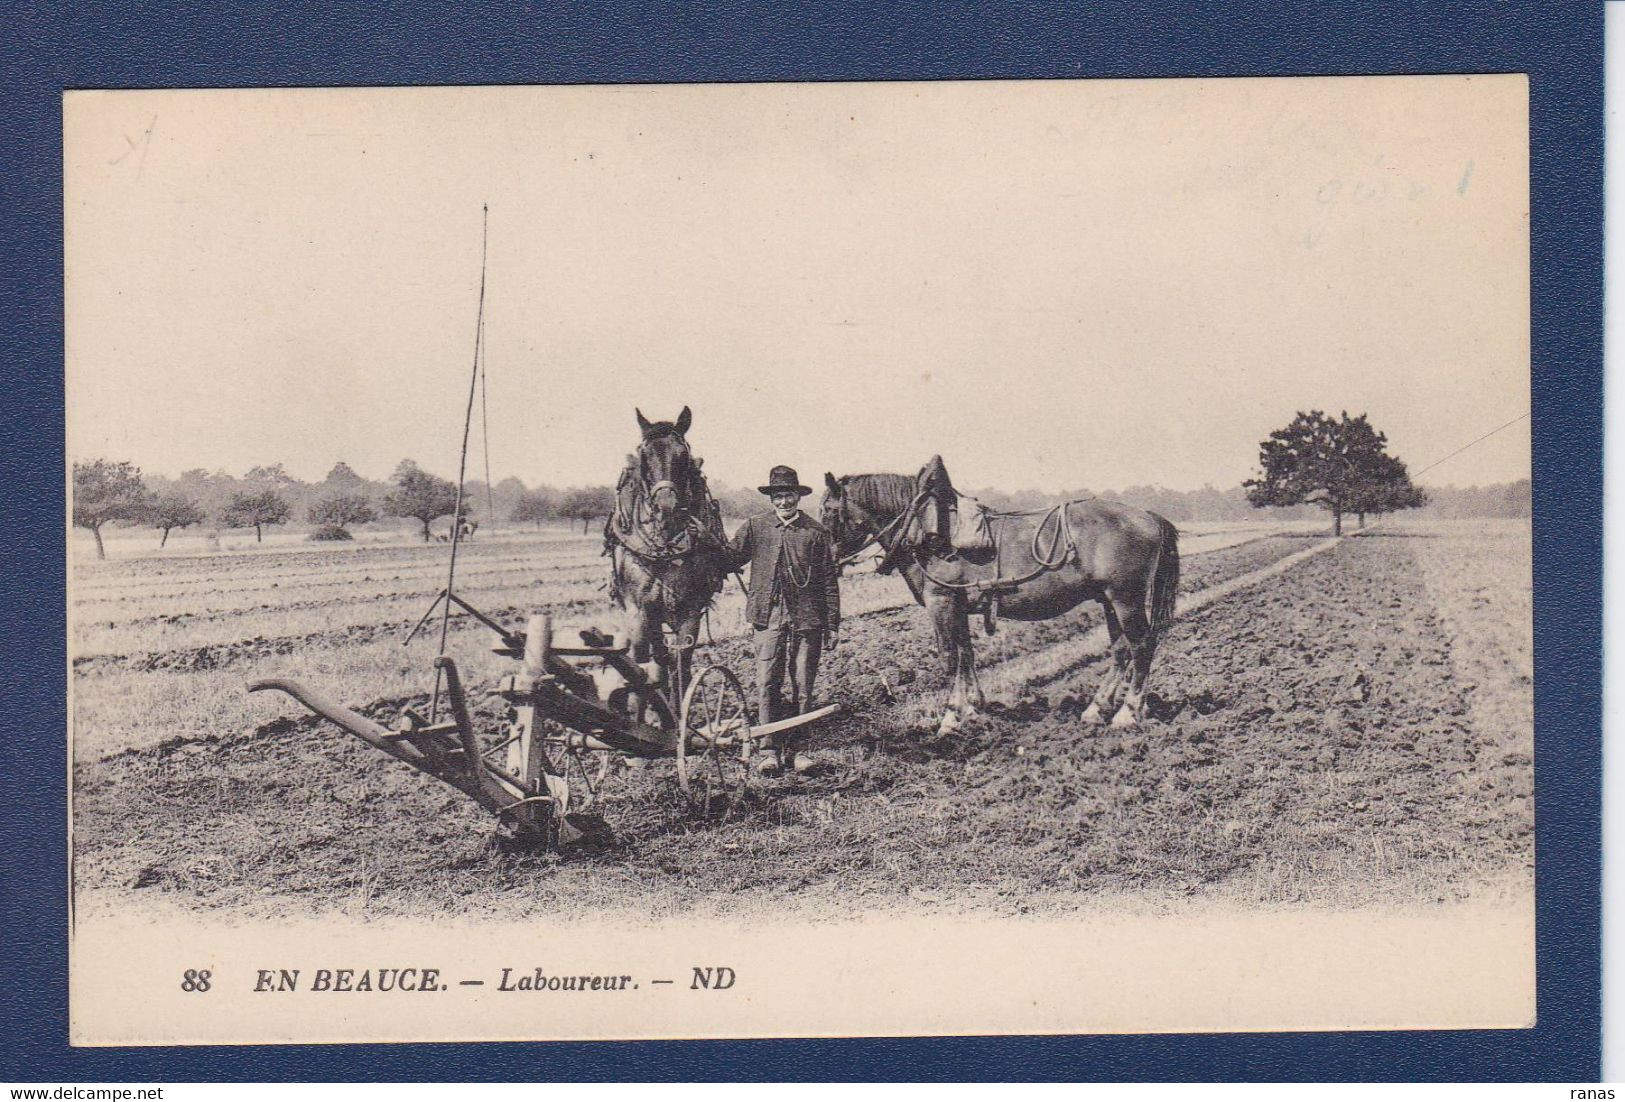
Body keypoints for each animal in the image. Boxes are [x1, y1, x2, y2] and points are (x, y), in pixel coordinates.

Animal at [607, 409, 728, 702]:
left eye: (682, 455)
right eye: (644, 455)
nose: (666, 506)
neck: (664, 550)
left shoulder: (690, 610)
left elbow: (680, 664)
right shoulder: (638, 612)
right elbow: (642, 663)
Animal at [819, 464, 1176, 734]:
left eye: (829, 511)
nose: (829, 561)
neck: (926, 530)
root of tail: (1148, 515)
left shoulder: (941, 602)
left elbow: (950, 658)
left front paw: (950, 717)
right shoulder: (958, 606)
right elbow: (967, 654)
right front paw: (973, 708)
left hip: (1126, 598)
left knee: (1141, 646)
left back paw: (1128, 712)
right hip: (1108, 600)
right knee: (1120, 650)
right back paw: (1097, 708)